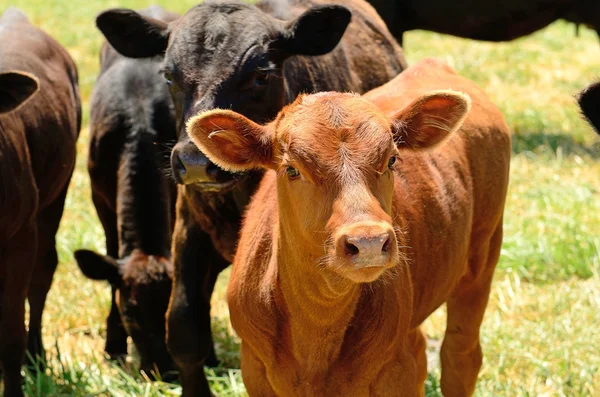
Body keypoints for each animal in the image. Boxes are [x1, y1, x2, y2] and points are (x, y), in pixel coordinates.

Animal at [185, 59, 508, 396]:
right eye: (291, 169)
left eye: (392, 160)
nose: (368, 243)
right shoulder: (254, 367)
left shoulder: (396, 371)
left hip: (483, 256)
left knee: (461, 355)